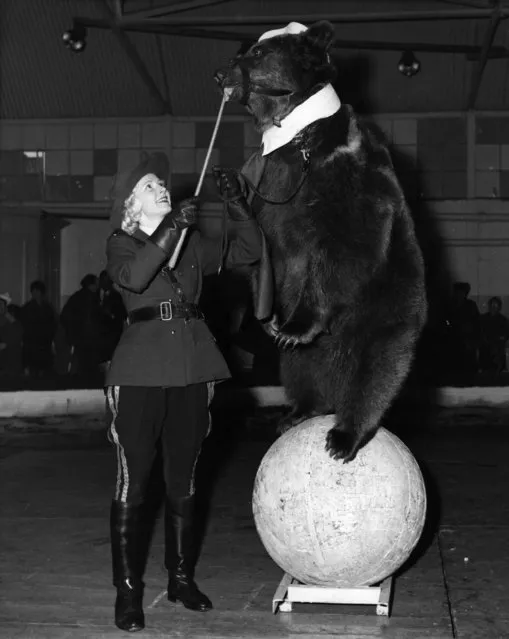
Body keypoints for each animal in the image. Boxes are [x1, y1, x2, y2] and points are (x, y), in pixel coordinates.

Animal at [212, 18, 426, 460]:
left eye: (258, 53)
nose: (220, 74)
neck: (297, 136)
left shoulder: (347, 170)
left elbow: (346, 242)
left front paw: (297, 324)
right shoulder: (271, 181)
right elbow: (260, 241)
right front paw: (229, 187)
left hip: (385, 313)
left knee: (375, 373)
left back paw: (345, 434)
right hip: (312, 356)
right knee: (299, 369)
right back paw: (298, 411)